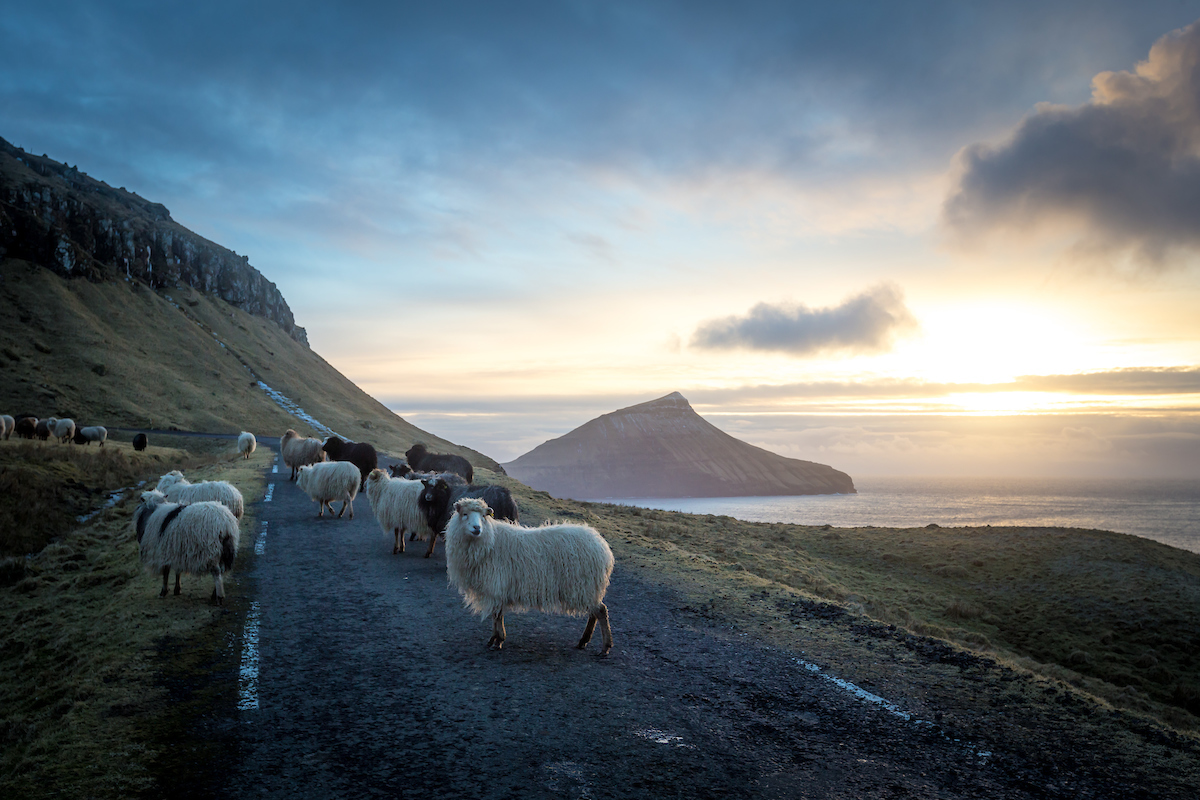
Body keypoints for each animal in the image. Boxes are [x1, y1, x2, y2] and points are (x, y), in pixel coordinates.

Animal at [444, 496, 614, 652]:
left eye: (483, 516)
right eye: (465, 514)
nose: (477, 528)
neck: (490, 540)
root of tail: (601, 544)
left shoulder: (496, 585)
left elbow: (497, 615)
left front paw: (498, 639)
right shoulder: (496, 589)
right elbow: (496, 614)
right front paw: (495, 638)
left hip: (584, 586)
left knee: (601, 611)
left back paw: (605, 646)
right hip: (588, 588)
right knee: (594, 613)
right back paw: (584, 641)